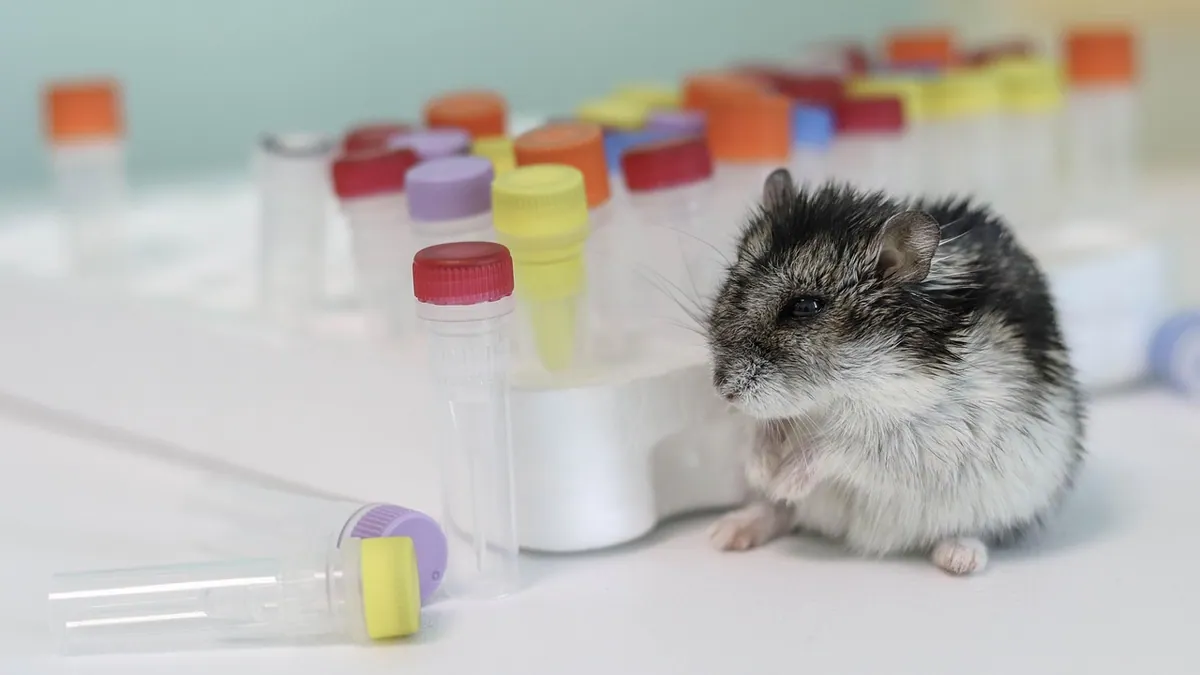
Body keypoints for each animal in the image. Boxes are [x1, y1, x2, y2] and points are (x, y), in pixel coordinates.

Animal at [705, 169, 1085, 575]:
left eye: (805, 306)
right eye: (733, 279)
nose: (723, 391)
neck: (839, 393)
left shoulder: (924, 433)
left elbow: (837, 445)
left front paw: (784, 480)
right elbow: (761, 427)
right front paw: (761, 472)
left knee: (977, 529)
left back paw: (959, 559)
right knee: (785, 515)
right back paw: (727, 531)